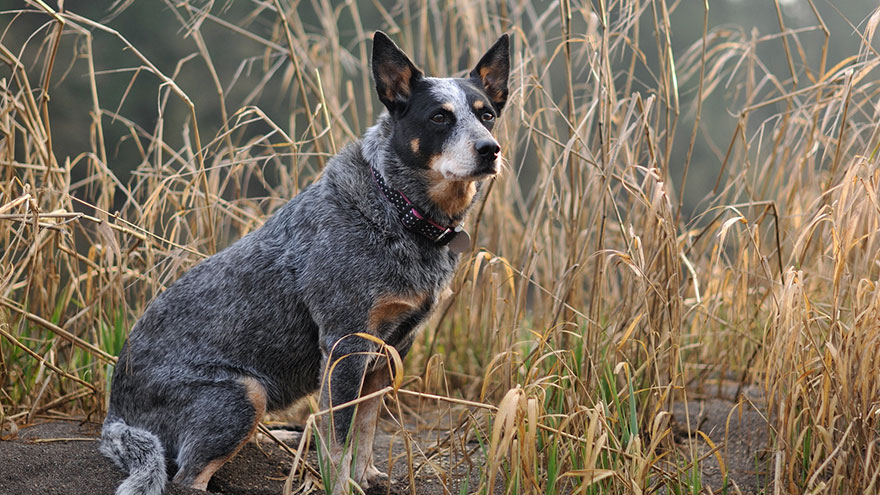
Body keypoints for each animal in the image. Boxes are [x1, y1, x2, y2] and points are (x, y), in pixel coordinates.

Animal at [98, 32, 508, 495]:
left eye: (487, 115)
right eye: (440, 117)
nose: (490, 149)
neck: (397, 208)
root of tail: (115, 413)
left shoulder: (392, 348)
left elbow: (366, 427)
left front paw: (365, 477)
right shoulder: (346, 343)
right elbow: (340, 436)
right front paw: (342, 484)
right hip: (246, 393)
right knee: (187, 477)